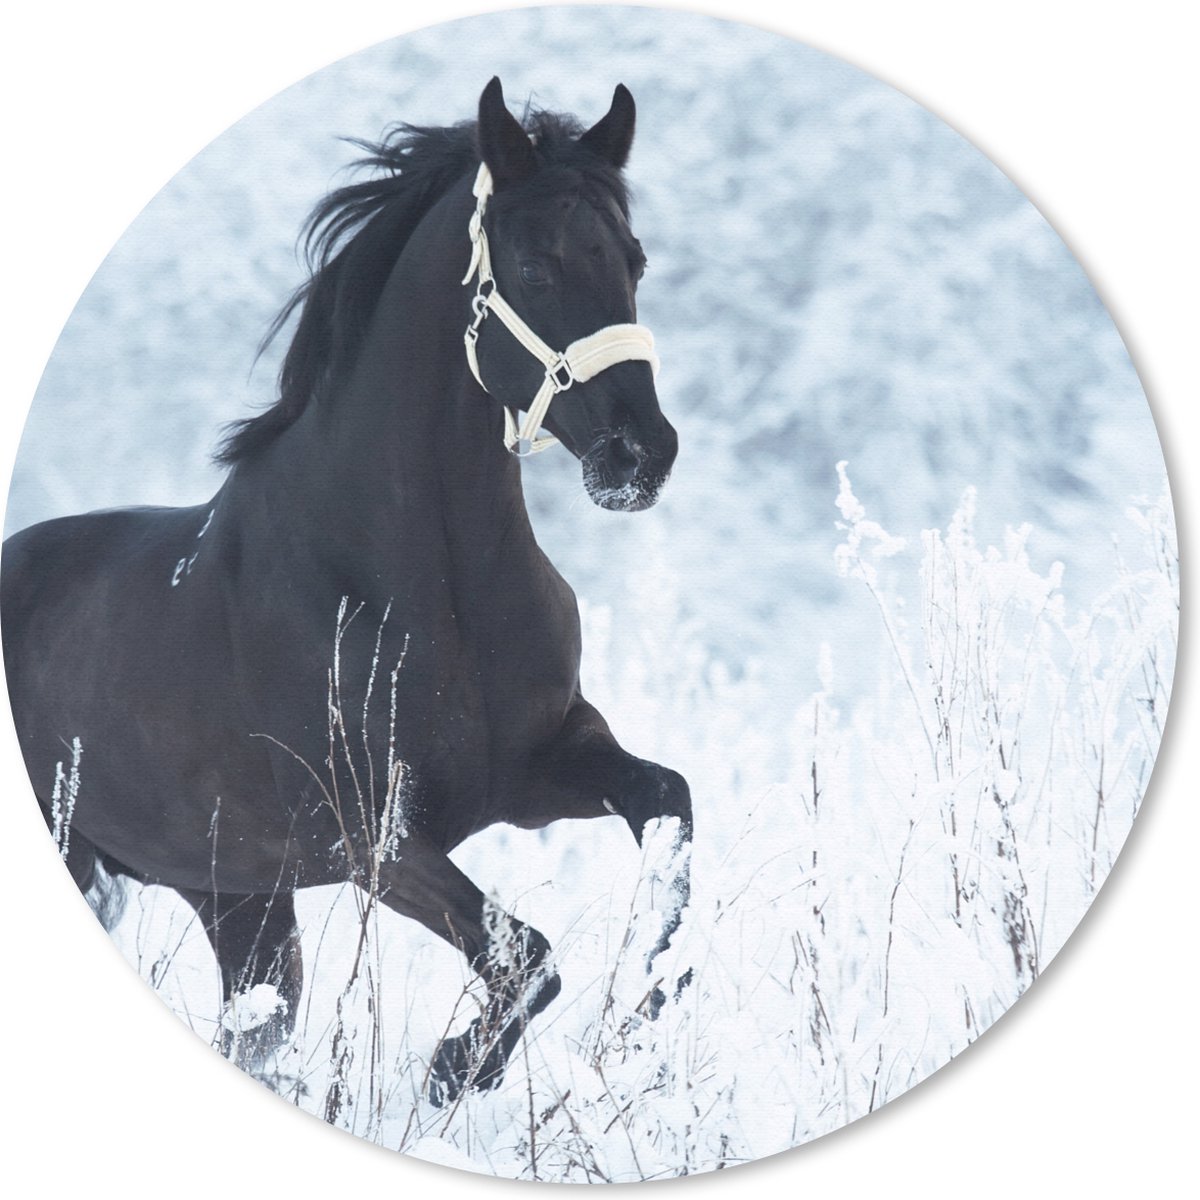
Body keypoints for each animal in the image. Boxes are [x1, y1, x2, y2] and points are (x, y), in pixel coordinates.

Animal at [2, 77, 691, 1106]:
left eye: (634, 258)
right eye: (535, 265)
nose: (639, 455)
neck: (424, 585)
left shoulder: (541, 769)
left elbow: (669, 810)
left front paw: (645, 1013)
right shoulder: (373, 837)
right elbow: (525, 956)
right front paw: (452, 1069)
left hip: (239, 903)